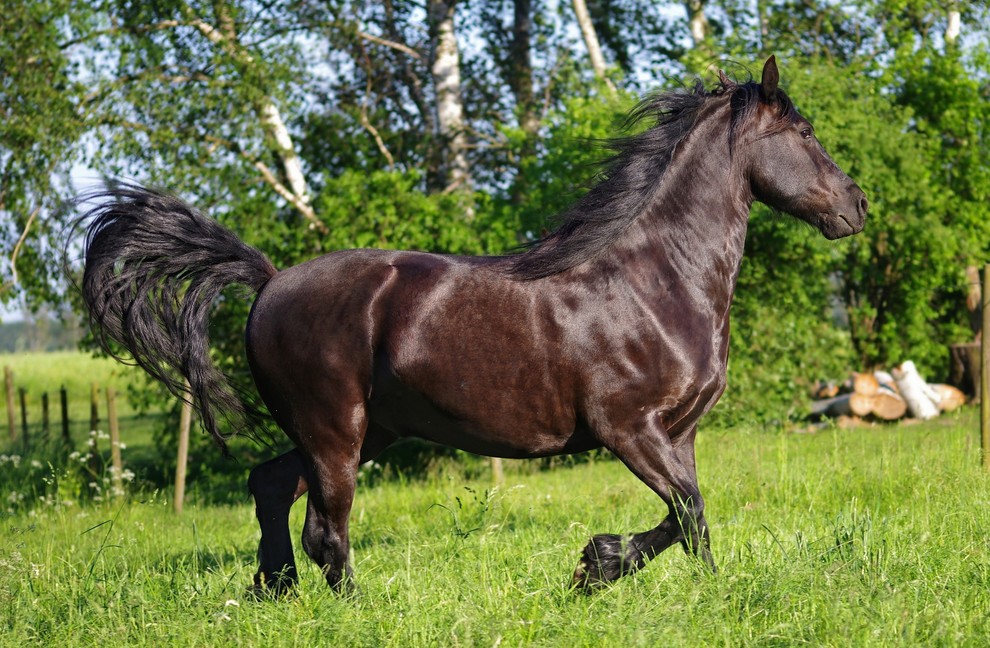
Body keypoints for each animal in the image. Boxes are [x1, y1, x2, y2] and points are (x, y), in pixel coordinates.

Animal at [77, 58, 868, 596]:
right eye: (804, 132)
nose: (856, 206)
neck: (655, 282)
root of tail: (269, 282)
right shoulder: (628, 429)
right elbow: (688, 510)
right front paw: (601, 565)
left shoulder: (679, 434)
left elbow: (690, 517)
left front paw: (628, 573)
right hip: (336, 432)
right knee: (326, 529)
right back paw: (350, 606)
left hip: (358, 432)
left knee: (270, 487)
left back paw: (275, 589)